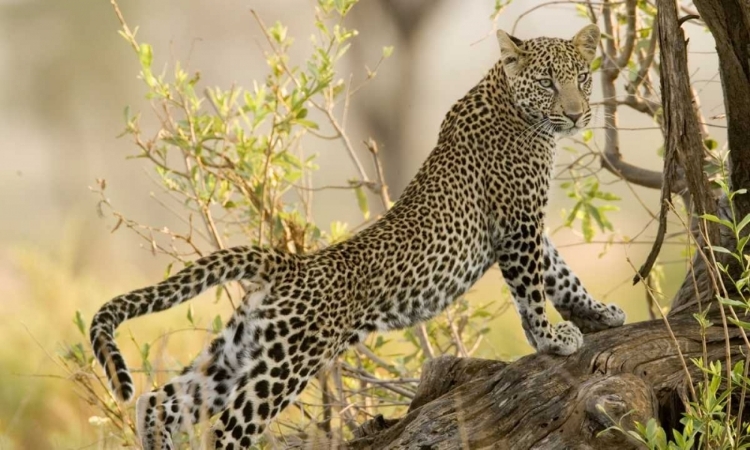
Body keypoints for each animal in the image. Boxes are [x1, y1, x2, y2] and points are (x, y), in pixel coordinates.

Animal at [89, 22, 628, 448]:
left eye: (581, 79)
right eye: (548, 82)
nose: (577, 114)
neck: (511, 101)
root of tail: (290, 264)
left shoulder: (527, 226)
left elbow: (561, 275)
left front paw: (599, 314)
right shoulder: (517, 224)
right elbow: (533, 289)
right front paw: (551, 339)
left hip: (239, 351)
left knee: (159, 402)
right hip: (286, 362)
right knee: (228, 427)